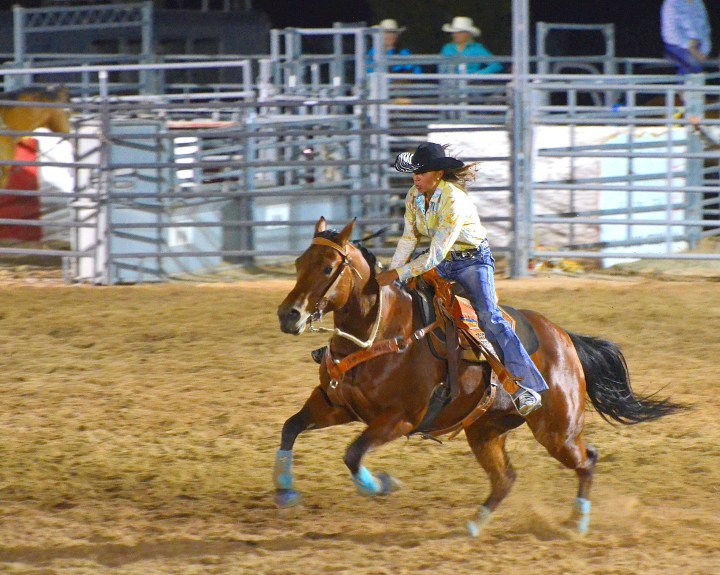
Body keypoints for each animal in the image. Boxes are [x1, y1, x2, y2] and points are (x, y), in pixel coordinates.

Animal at [274, 216, 680, 536]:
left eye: (328, 268)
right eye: (298, 262)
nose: (289, 315)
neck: (383, 333)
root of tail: (564, 338)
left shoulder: (399, 419)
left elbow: (354, 454)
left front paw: (384, 484)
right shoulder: (336, 405)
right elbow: (291, 427)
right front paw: (285, 491)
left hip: (556, 431)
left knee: (587, 459)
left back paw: (577, 523)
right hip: (486, 429)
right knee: (506, 478)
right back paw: (475, 524)